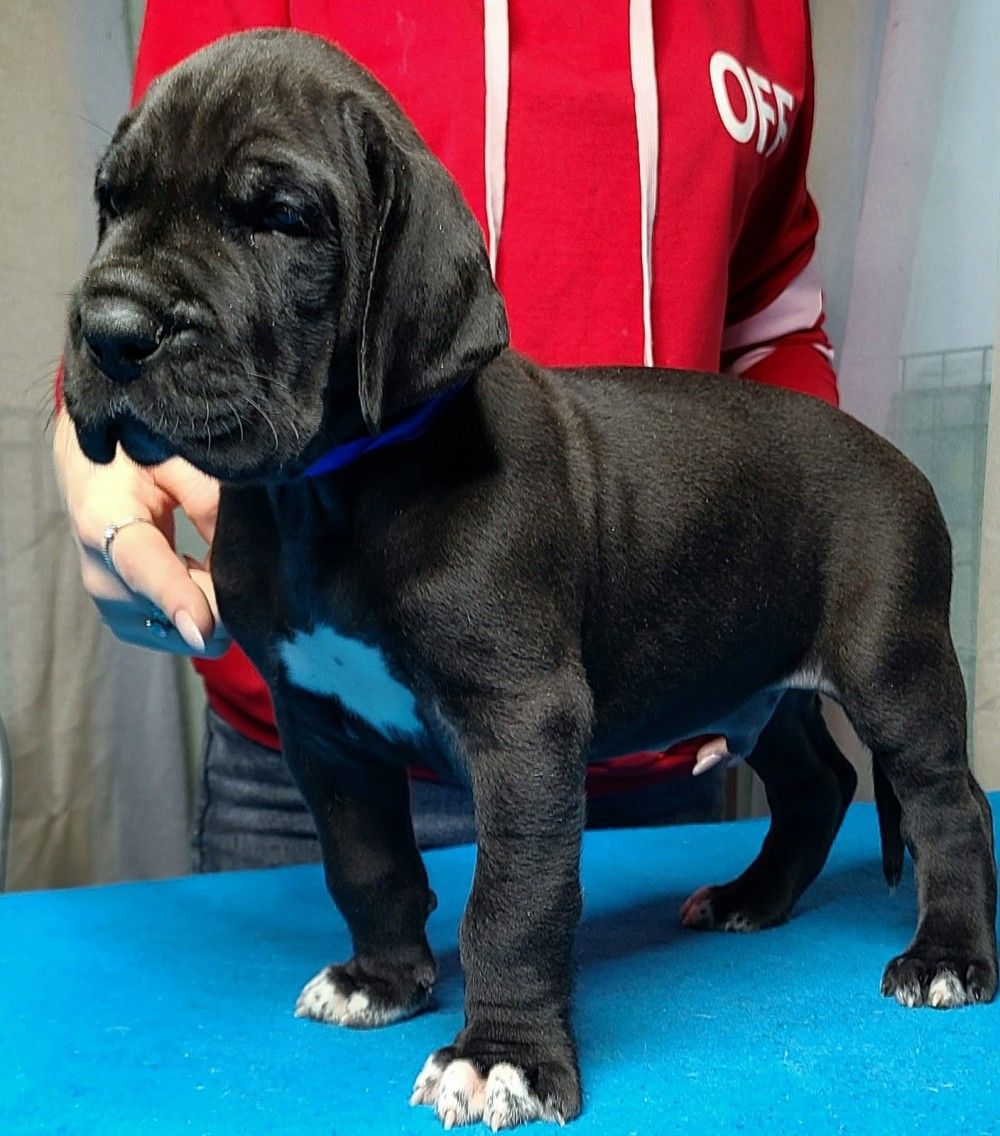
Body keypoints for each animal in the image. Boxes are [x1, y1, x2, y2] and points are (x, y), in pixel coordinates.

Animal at [63, 29, 997, 1130]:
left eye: (282, 218)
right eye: (112, 199)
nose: (108, 328)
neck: (329, 494)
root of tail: (900, 458)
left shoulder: (522, 722)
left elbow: (511, 899)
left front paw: (500, 1055)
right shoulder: (318, 723)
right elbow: (365, 857)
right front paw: (382, 979)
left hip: (896, 663)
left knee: (948, 802)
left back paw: (945, 957)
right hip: (756, 679)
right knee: (820, 785)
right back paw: (750, 899)